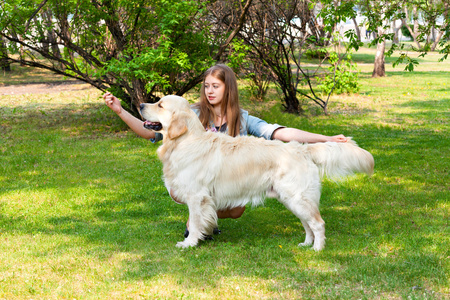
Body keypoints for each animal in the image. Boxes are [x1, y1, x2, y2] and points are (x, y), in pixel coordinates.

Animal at [140, 95, 372, 250]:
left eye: (160, 104)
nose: (141, 105)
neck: (184, 141)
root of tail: (301, 149)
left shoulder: (197, 197)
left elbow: (196, 222)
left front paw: (189, 243)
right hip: (291, 199)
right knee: (307, 224)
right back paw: (306, 243)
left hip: (298, 197)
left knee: (318, 223)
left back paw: (317, 249)